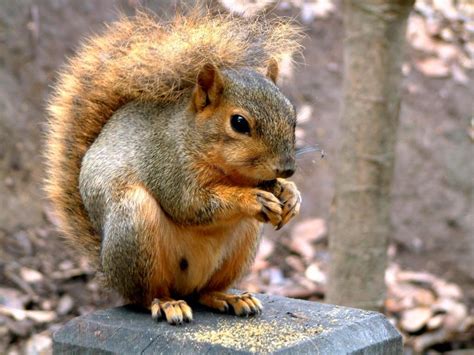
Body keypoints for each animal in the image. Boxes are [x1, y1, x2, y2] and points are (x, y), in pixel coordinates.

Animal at [45, 9, 304, 326]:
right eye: (239, 123)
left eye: (292, 116)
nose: (287, 169)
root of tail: (108, 268)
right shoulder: (168, 164)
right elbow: (190, 204)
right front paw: (252, 198)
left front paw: (291, 195)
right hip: (134, 225)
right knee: (145, 295)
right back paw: (168, 304)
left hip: (242, 244)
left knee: (205, 292)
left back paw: (229, 297)